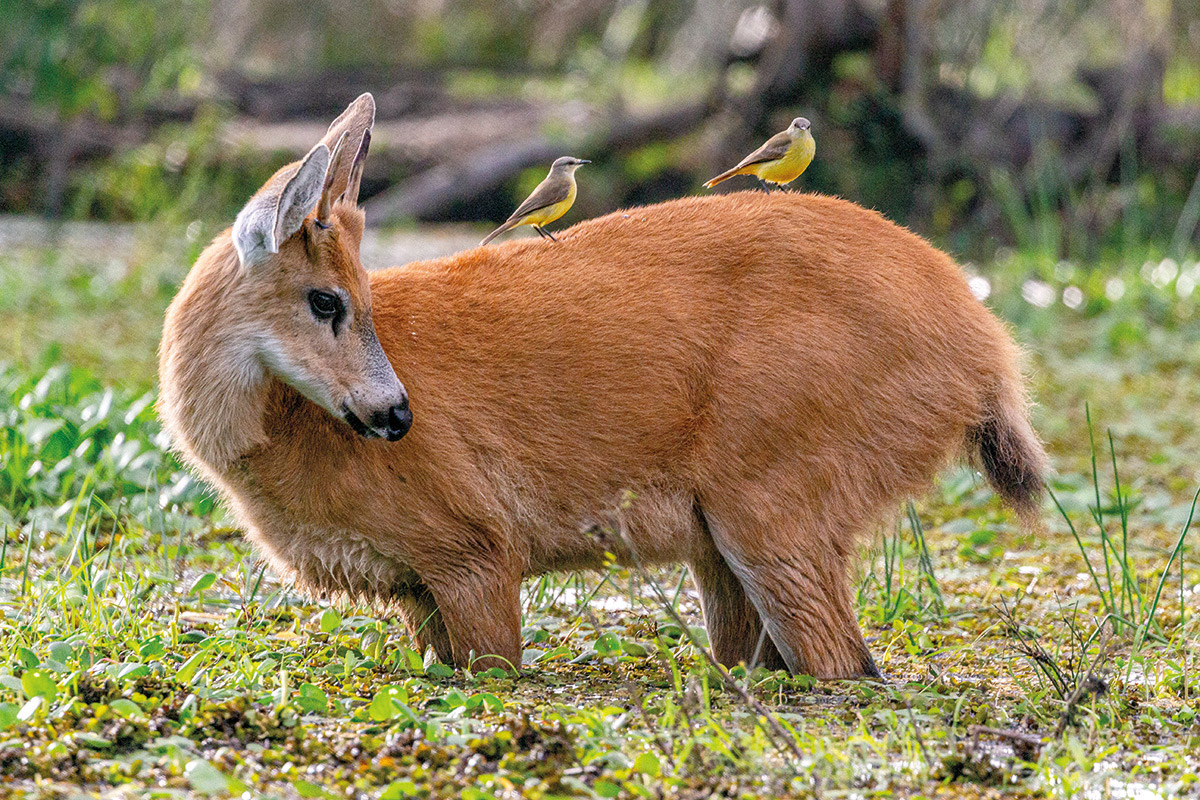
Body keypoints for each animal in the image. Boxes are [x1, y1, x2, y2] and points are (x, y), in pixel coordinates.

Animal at [157, 97, 1041, 681]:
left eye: (353, 299)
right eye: (326, 299)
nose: (398, 414)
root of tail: (986, 348)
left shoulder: (475, 548)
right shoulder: (418, 591)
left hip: (771, 501)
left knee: (848, 668)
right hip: (727, 543)